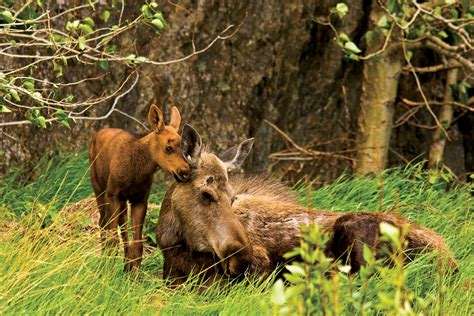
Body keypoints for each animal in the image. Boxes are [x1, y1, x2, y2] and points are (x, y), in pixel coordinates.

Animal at [89, 104, 193, 272]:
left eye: (184, 147)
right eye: (168, 147)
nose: (185, 172)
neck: (137, 171)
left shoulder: (140, 199)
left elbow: (138, 244)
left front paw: (134, 272)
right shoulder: (113, 194)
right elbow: (113, 238)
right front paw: (108, 270)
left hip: (122, 200)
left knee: (122, 226)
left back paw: (125, 264)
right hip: (99, 188)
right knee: (103, 223)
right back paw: (105, 260)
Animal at [157, 127, 458, 286]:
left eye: (231, 197)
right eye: (206, 193)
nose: (239, 257)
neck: (174, 246)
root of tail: (450, 262)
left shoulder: (261, 265)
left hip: (355, 233)